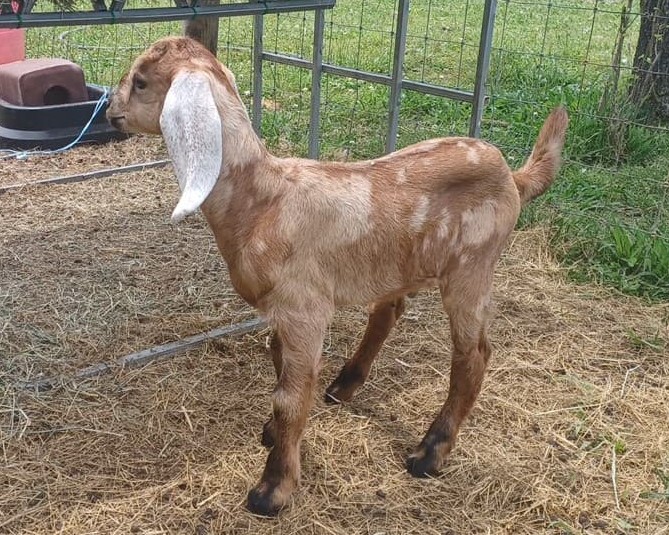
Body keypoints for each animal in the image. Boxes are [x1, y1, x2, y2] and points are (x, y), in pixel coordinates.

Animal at [107, 36, 568, 516]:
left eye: (140, 81)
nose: (109, 111)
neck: (264, 201)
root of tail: (512, 177)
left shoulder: (304, 307)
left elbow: (289, 397)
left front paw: (272, 490)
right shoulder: (284, 311)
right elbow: (281, 365)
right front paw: (274, 435)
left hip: (472, 265)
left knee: (473, 354)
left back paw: (430, 452)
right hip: (402, 262)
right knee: (390, 310)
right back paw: (345, 385)